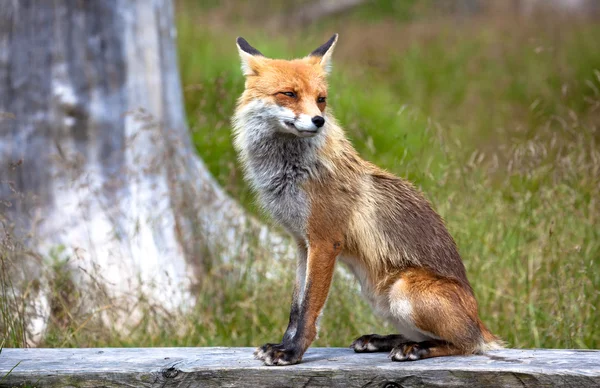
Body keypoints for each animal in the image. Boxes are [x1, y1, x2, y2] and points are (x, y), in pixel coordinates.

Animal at [232, 34, 504, 366]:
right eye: (289, 94)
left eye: (321, 99)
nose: (319, 121)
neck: (292, 172)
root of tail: (481, 324)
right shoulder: (301, 243)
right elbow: (296, 308)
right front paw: (283, 344)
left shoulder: (325, 242)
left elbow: (309, 310)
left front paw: (293, 352)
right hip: (379, 297)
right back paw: (384, 340)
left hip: (403, 291)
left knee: (464, 344)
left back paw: (417, 349)